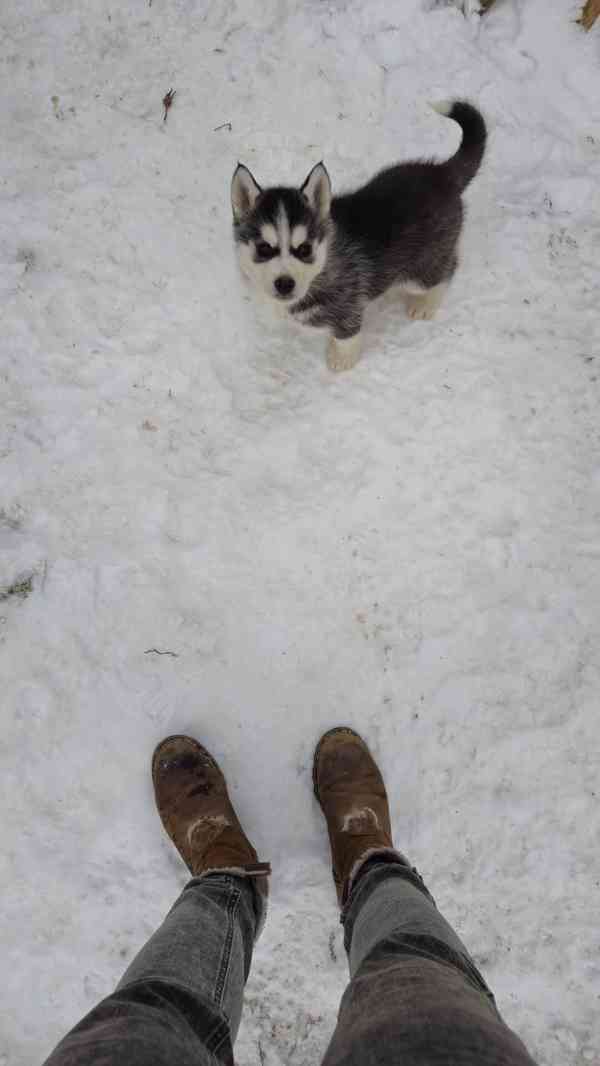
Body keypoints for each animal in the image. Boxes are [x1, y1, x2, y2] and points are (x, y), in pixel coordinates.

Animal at [232, 101, 485, 373]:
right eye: (264, 248)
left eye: (305, 249)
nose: (285, 284)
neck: (323, 266)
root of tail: (443, 174)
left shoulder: (349, 304)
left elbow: (347, 335)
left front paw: (341, 360)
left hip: (421, 269)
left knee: (448, 268)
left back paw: (425, 304)